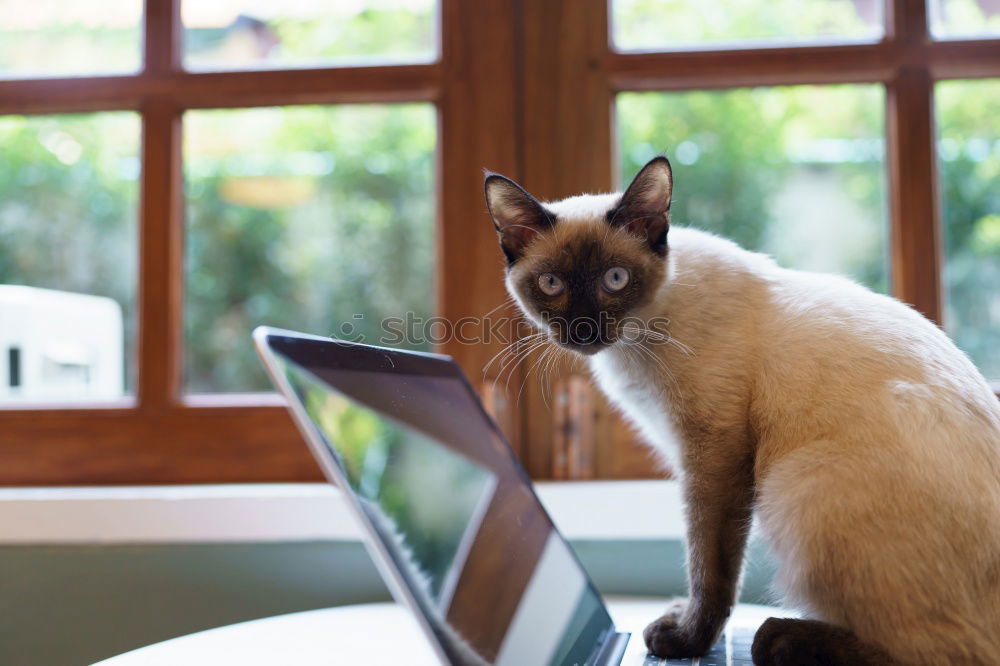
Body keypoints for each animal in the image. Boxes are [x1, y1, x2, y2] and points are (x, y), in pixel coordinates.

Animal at [482, 157, 1000, 664]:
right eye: (551, 284)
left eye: (615, 279)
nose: (585, 330)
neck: (638, 336)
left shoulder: (714, 454)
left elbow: (709, 566)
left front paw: (687, 641)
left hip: (794, 485)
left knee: (943, 650)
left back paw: (780, 640)